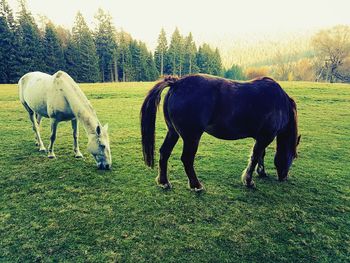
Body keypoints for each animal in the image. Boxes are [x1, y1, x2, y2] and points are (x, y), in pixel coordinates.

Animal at [141, 73, 300, 191]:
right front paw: (248, 181)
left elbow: (260, 155)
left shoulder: (260, 138)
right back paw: (196, 185)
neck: (280, 103)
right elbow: (255, 157)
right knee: (187, 159)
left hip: (173, 132)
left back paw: (164, 182)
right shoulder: (265, 137)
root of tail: (177, 83)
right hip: (192, 137)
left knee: (164, 152)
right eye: (293, 156)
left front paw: (261, 172)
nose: (284, 177)